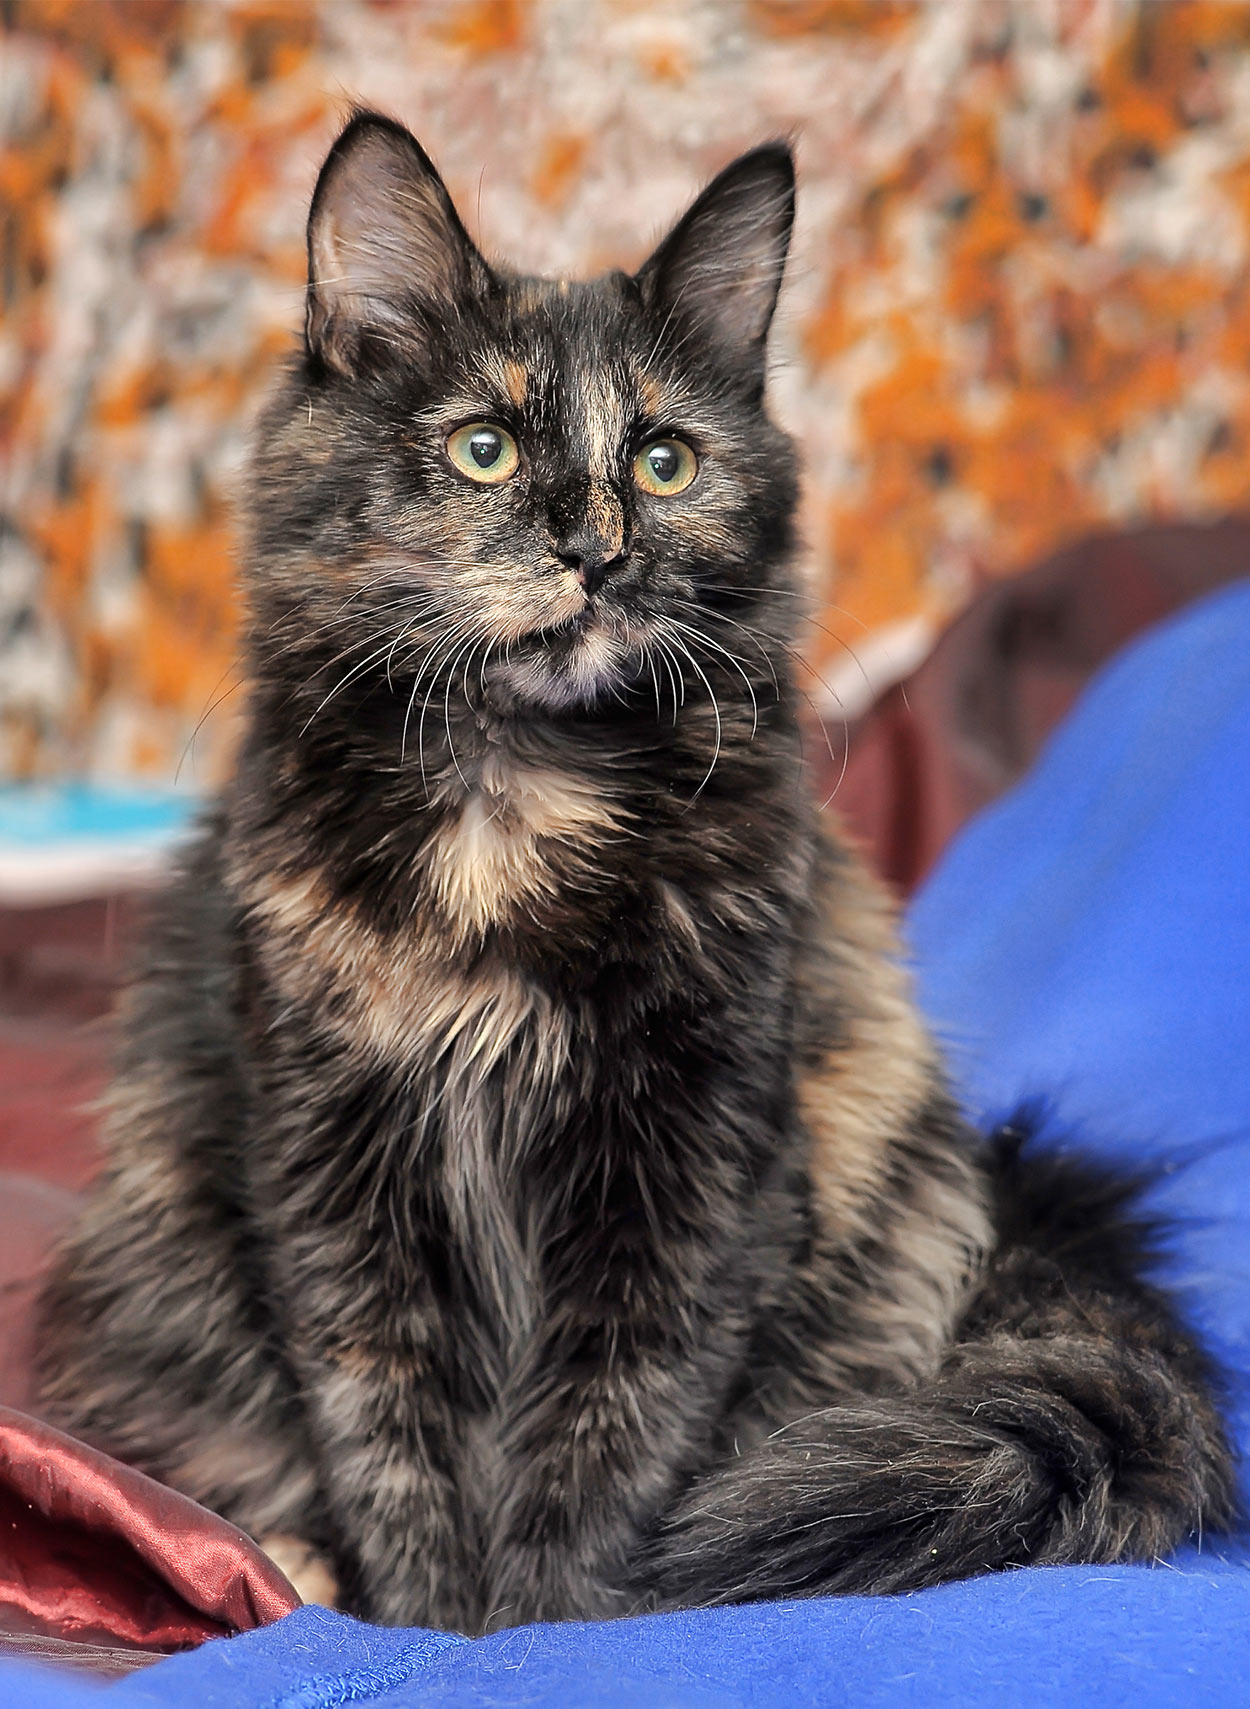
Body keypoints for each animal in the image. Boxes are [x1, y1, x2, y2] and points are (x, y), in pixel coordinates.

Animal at [36, 113, 1231, 1633]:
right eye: (483, 448)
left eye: (663, 462)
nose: (593, 551)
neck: (516, 800)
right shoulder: (334, 1164)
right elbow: (389, 1435)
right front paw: (431, 1626)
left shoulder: (686, 1157)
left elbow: (609, 1432)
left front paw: (553, 1626)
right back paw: (281, 1563)